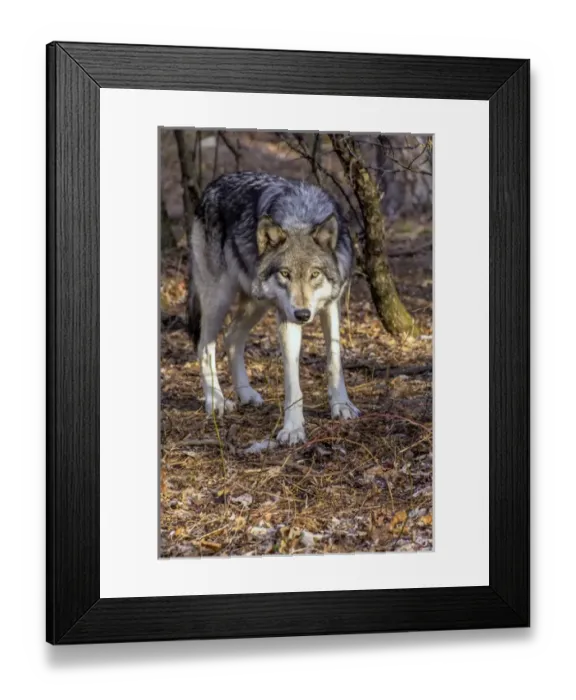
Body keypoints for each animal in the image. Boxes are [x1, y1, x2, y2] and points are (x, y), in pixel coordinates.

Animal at [188, 171, 360, 445]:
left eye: (314, 274)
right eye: (285, 274)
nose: (303, 315)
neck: (301, 216)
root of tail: (212, 186)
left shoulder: (331, 306)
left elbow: (334, 360)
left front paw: (341, 405)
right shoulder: (286, 316)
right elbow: (292, 382)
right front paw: (293, 428)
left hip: (257, 303)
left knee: (232, 338)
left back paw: (246, 393)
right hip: (218, 299)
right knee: (205, 346)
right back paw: (216, 400)